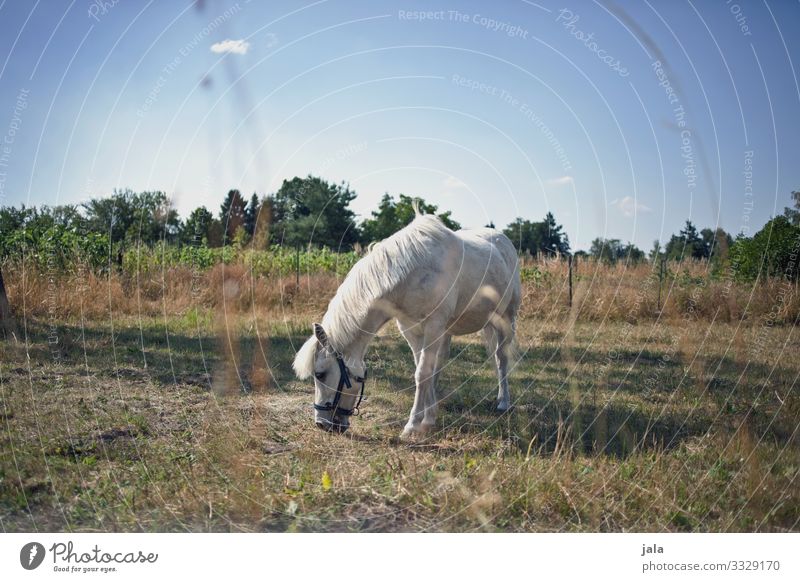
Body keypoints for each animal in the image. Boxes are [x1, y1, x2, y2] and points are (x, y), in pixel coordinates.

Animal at [290, 205, 520, 438]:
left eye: (320, 374)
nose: (322, 424)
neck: (413, 273)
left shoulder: (433, 326)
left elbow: (422, 372)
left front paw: (412, 425)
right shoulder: (410, 329)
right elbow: (423, 369)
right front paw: (428, 418)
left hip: (505, 318)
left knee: (501, 358)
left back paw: (503, 402)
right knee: (441, 361)